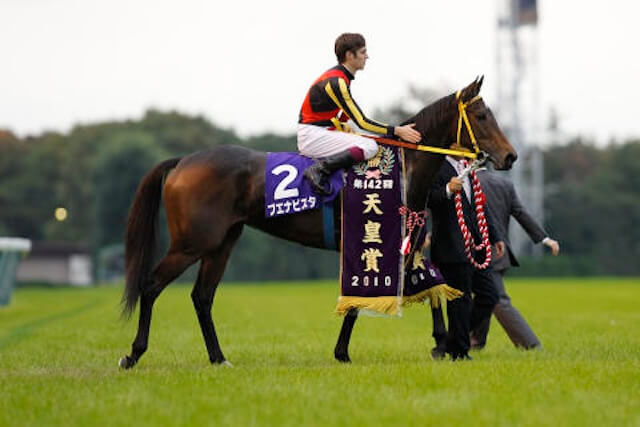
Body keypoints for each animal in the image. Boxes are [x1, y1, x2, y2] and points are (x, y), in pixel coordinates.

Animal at [118, 76, 517, 369]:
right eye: (482, 116)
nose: (511, 156)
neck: (401, 172)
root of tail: (183, 161)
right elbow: (361, 300)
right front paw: (344, 352)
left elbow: (428, 289)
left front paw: (443, 343)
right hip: (192, 243)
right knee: (151, 286)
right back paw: (133, 353)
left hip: (222, 243)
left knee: (202, 297)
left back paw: (219, 359)